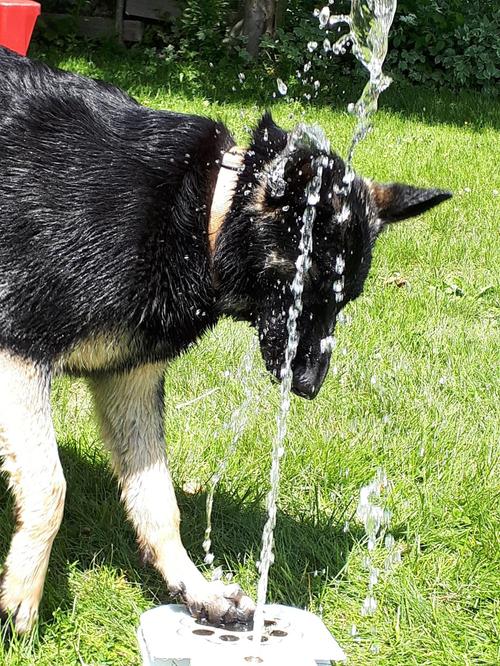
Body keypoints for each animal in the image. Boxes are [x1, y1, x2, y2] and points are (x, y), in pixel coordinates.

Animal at [0, 44, 452, 632]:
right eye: (303, 288)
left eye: (343, 301)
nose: (309, 386)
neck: (199, 213)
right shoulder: (18, 351)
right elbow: (51, 485)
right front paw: (23, 596)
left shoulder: (129, 380)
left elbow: (158, 502)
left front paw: (196, 589)